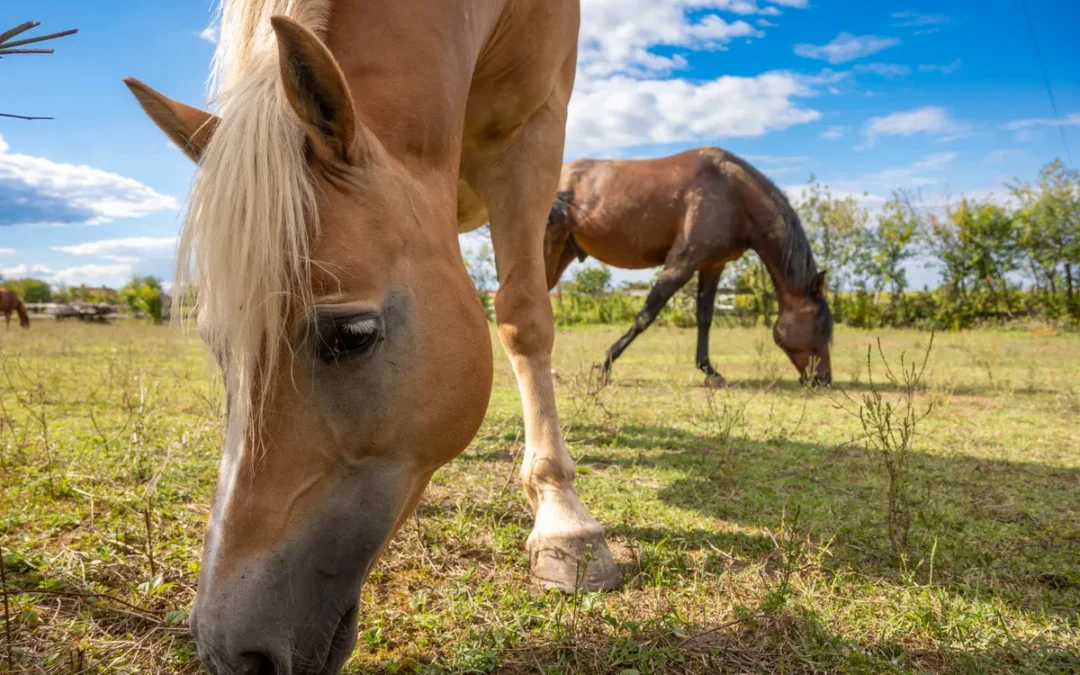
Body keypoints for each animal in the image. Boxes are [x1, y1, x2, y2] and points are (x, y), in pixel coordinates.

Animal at [124, 1, 618, 672]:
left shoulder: (533, 132)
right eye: (218, 347)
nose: (232, 653)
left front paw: (565, 522)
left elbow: (524, 317)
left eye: (352, 335)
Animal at [544, 147, 833, 387]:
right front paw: (604, 365)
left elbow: (704, 317)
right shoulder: (681, 263)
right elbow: (645, 315)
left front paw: (709, 371)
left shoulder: (712, 265)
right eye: (820, 326)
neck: (733, 193)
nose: (824, 379)